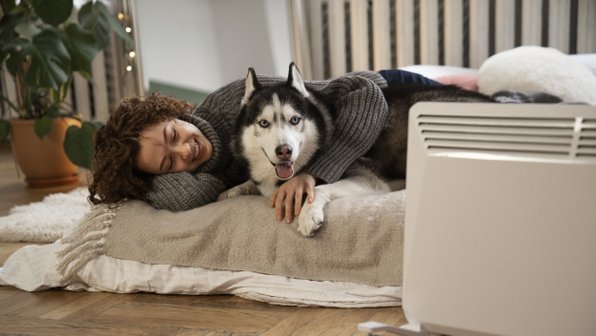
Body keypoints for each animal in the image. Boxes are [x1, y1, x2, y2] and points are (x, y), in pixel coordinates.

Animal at [226, 63, 492, 236]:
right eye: (264, 123)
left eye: (295, 120)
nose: (285, 151)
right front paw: (232, 190)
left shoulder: (368, 180)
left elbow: (320, 188)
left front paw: (308, 214)